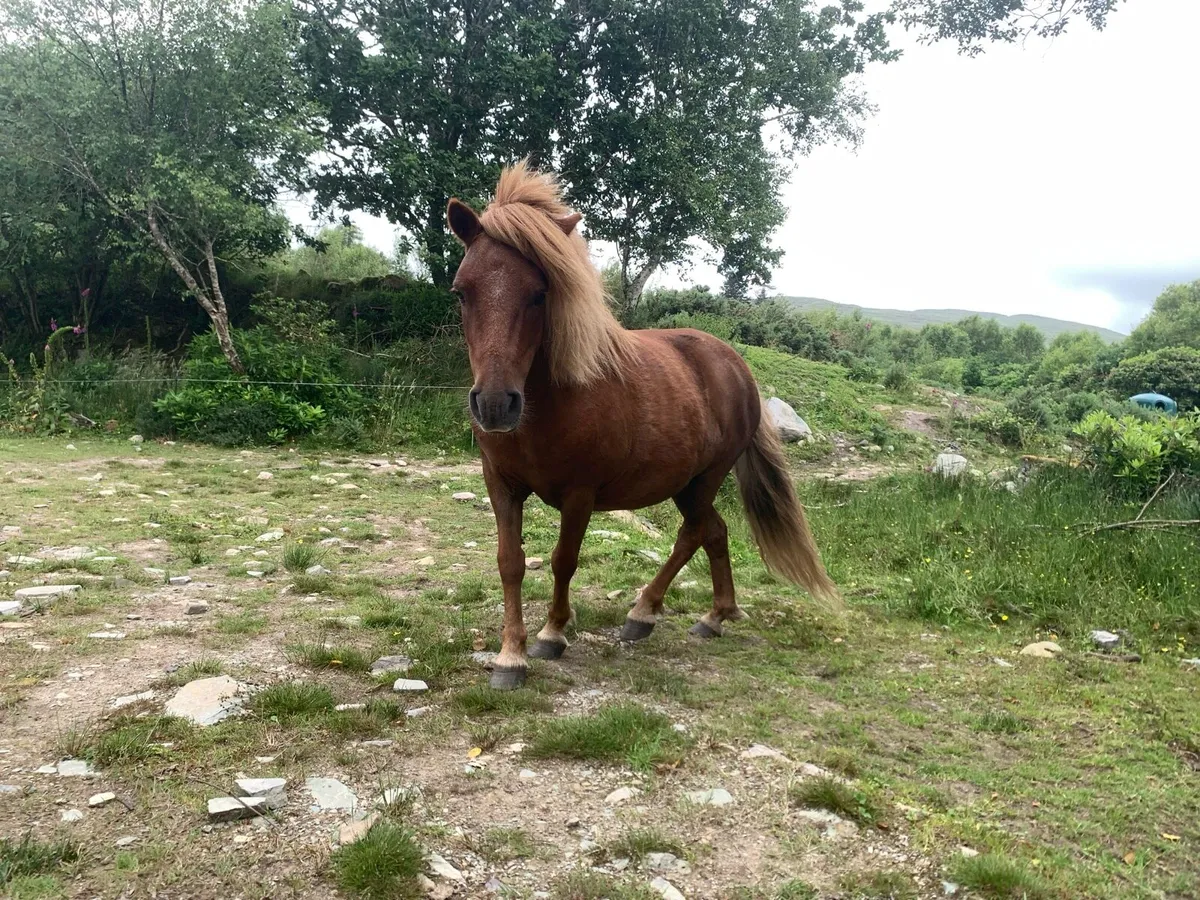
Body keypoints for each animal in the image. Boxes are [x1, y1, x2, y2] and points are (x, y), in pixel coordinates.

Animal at [447, 162, 837, 690]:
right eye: (462, 291)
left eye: (539, 293)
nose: (494, 405)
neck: (551, 404)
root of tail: (736, 365)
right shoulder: (501, 485)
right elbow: (511, 563)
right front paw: (511, 655)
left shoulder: (579, 495)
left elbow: (563, 560)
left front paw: (553, 633)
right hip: (687, 484)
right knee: (714, 532)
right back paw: (714, 615)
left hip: (705, 479)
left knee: (693, 534)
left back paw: (644, 612)